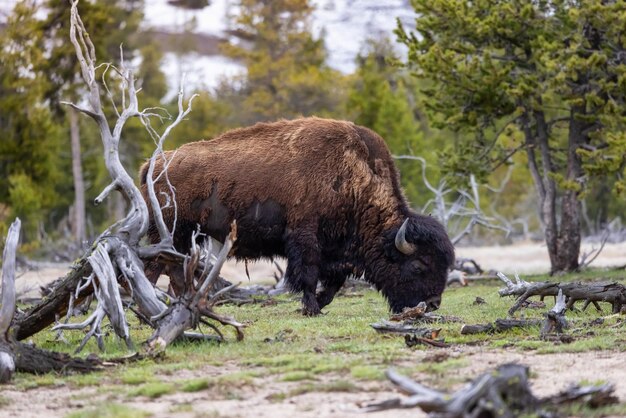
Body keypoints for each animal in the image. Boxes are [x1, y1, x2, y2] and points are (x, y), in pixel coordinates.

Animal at [140, 116, 454, 316]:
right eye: (419, 265)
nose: (433, 303)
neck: (353, 176)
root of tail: (154, 163)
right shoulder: (305, 239)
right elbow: (308, 275)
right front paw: (311, 308)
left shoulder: (336, 252)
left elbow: (332, 283)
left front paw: (317, 305)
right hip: (170, 233)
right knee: (153, 269)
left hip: (182, 238)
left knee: (173, 271)